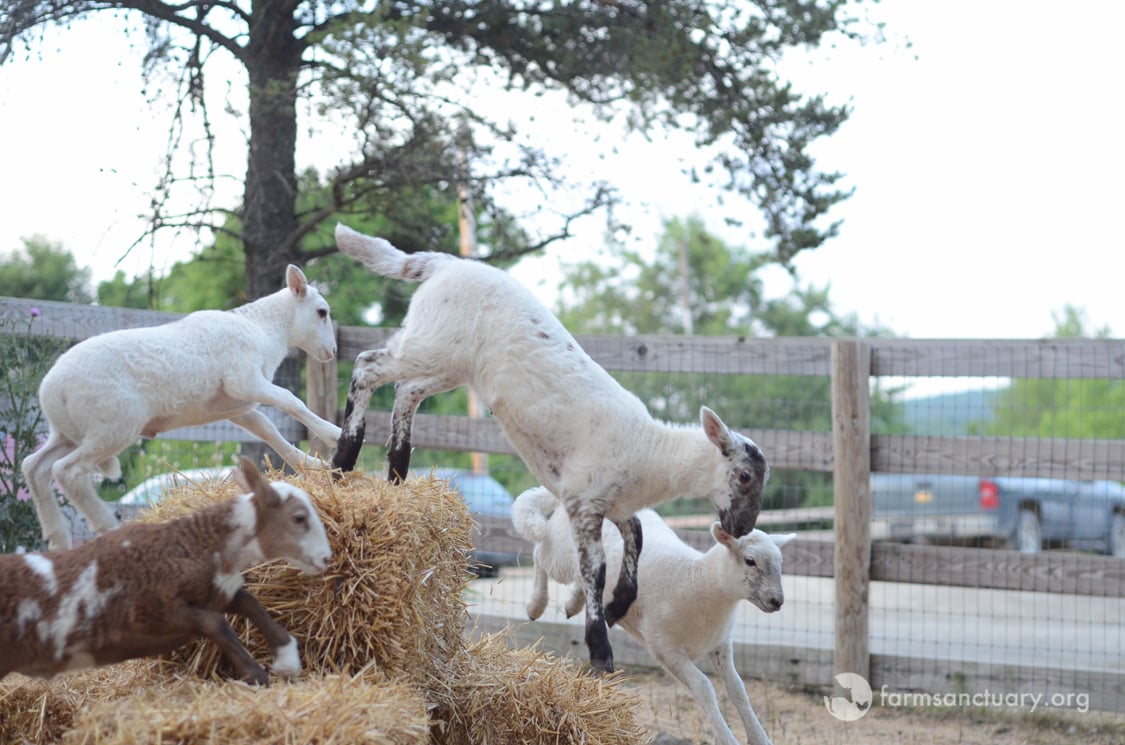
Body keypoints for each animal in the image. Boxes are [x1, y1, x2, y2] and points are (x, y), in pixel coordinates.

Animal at [0, 456, 332, 685]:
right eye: (299, 518)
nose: (327, 558)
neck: (194, 544)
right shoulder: (151, 615)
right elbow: (216, 624)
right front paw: (255, 674)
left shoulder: (214, 589)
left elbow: (250, 604)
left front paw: (287, 657)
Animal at [22, 265, 342, 551]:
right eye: (322, 312)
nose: (333, 352)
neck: (264, 330)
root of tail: (51, 390)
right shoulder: (244, 381)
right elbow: (291, 400)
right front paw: (334, 434)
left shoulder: (235, 406)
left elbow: (267, 428)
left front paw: (313, 463)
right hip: (113, 427)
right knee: (67, 471)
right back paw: (108, 527)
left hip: (69, 433)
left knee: (35, 467)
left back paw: (58, 540)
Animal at [330, 222, 769, 673]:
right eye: (744, 475)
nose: (742, 528)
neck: (651, 450)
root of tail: (444, 264)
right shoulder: (583, 501)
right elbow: (596, 569)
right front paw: (600, 648)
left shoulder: (612, 503)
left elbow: (637, 541)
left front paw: (617, 606)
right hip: (430, 341)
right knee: (367, 366)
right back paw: (343, 460)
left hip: (450, 361)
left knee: (406, 392)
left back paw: (397, 475)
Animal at [514, 486, 793, 745]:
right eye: (750, 561)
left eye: (780, 563)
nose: (777, 601)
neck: (698, 580)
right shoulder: (665, 649)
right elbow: (704, 688)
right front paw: (726, 738)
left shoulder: (721, 644)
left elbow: (738, 690)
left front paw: (760, 737)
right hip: (560, 554)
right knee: (540, 553)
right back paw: (535, 604)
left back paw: (573, 603)